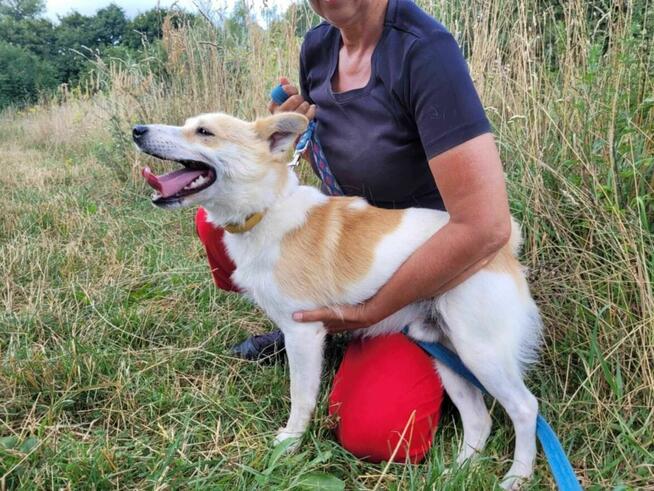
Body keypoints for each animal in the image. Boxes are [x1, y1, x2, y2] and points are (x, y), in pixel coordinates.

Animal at [132, 111, 544, 488]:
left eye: (204, 132)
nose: (137, 130)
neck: (267, 209)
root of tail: (503, 248)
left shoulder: (303, 334)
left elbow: (301, 396)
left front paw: (289, 444)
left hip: (481, 353)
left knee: (526, 409)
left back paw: (517, 476)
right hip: (444, 352)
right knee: (479, 419)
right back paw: (457, 471)